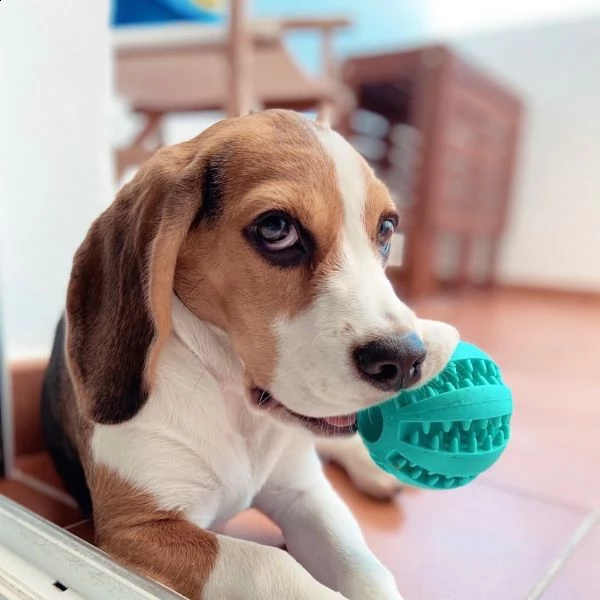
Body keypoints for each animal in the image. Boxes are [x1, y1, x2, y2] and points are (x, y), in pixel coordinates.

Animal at [39, 110, 458, 596]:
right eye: (276, 229)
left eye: (387, 228)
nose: (407, 361)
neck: (236, 403)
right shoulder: (139, 528)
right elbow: (269, 565)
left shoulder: (303, 493)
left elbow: (365, 568)